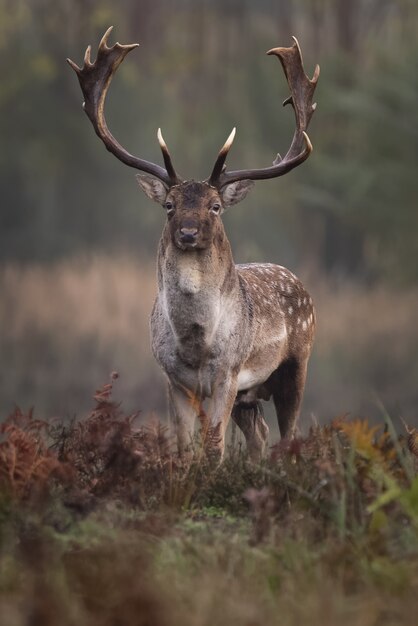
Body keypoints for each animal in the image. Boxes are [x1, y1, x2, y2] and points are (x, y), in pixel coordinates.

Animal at [68, 25, 320, 458]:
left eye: (215, 206)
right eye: (169, 205)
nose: (187, 232)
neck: (196, 345)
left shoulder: (228, 373)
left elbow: (215, 447)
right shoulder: (173, 378)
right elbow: (186, 448)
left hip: (295, 365)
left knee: (288, 435)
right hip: (251, 395)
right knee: (259, 434)